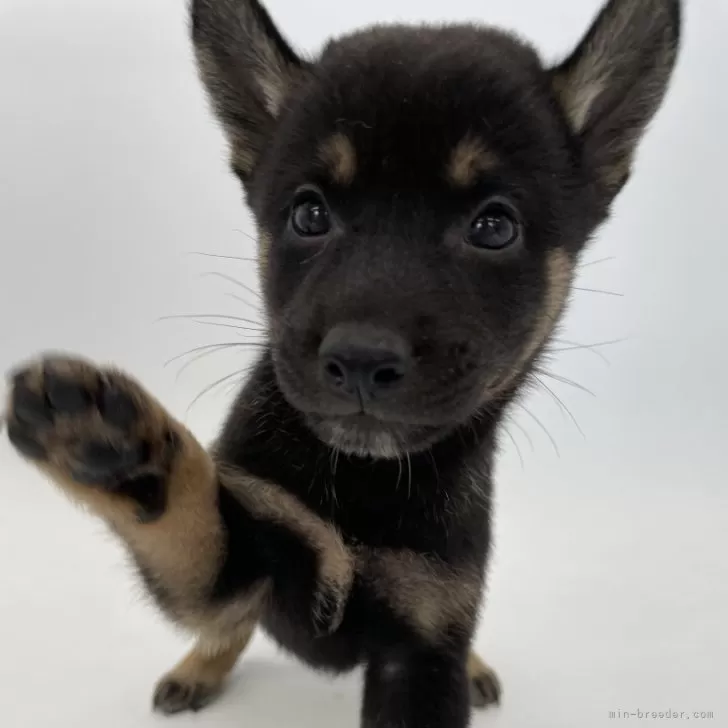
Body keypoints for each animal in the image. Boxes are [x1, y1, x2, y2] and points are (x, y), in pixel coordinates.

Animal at [5, 1, 680, 728]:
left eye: (494, 227)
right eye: (309, 214)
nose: (360, 360)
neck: (361, 480)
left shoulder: (424, 639)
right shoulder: (241, 559)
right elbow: (187, 521)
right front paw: (111, 449)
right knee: (224, 629)